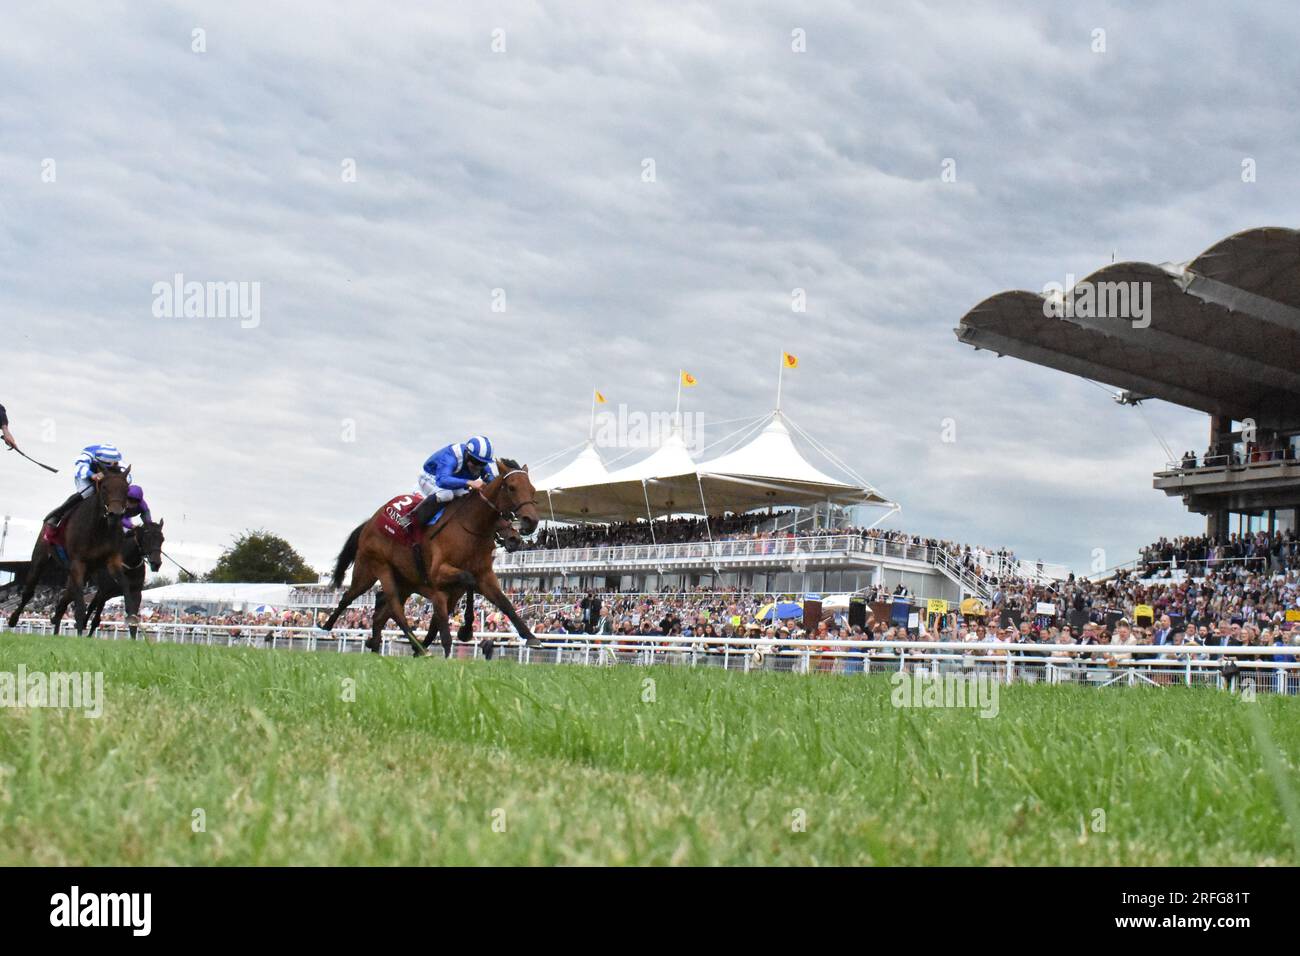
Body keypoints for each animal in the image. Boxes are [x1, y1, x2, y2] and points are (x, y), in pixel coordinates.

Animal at [5, 465, 133, 634]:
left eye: (126, 489)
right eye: (105, 487)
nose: (115, 514)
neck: (99, 529)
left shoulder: (112, 560)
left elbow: (125, 586)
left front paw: (132, 619)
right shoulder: (78, 562)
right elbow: (80, 606)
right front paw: (79, 632)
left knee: (64, 600)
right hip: (41, 558)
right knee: (29, 592)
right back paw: (13, 620)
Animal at [327, 457, 546, 658]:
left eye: (532, 490)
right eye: (511, 487)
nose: (531, 522)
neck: (470, 527)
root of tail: (369, 523)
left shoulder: (483, 575)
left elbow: (504, 603)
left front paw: (531, 637)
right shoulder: (439, 577)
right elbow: (460, 592)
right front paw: (462, 633)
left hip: (403, 583)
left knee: (382, 612)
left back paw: (383, 645)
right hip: (374, 569)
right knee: (363, 600)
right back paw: (328, 625)